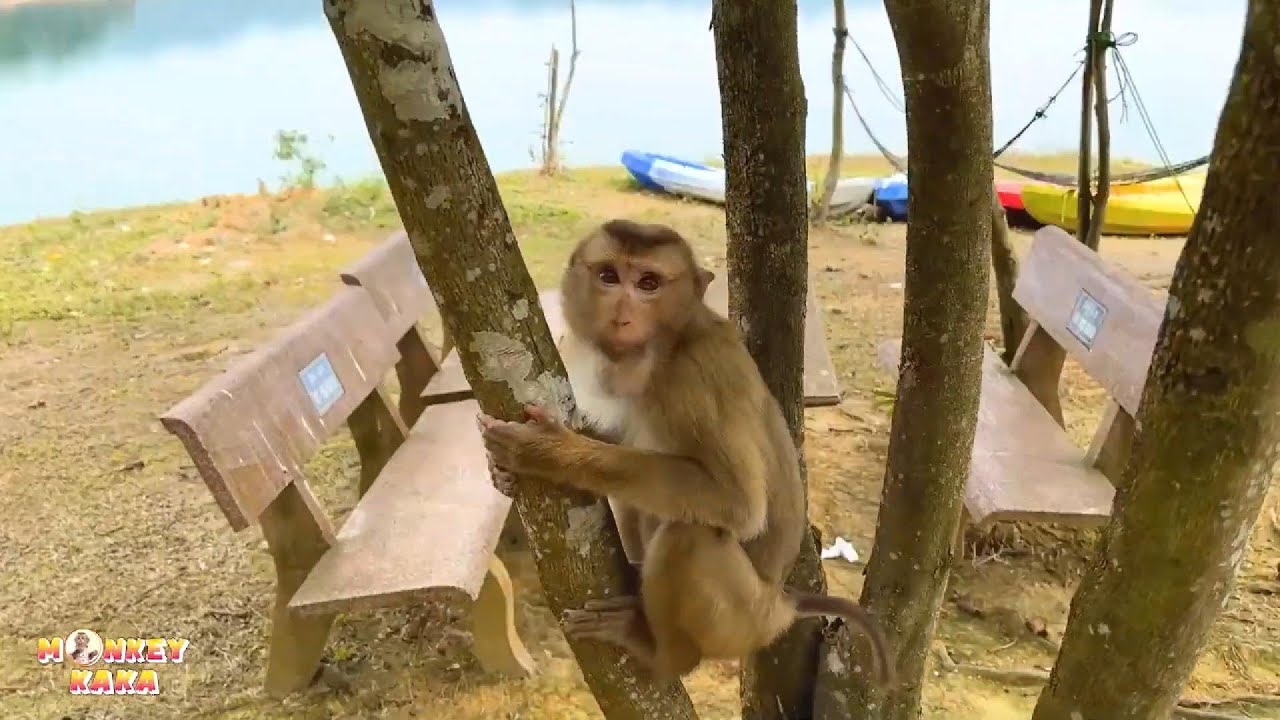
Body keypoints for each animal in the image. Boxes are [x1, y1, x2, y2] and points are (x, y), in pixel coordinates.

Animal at [478, 218, 894, 684]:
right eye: (609, 276)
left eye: (648, 283)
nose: (622, 314)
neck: (656, 352)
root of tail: (785, 601)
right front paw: (502, 475)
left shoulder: (697, 380)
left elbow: (737, 501)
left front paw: (549, 451)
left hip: (742, 618)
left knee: (689, 536)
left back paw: (665, 654)